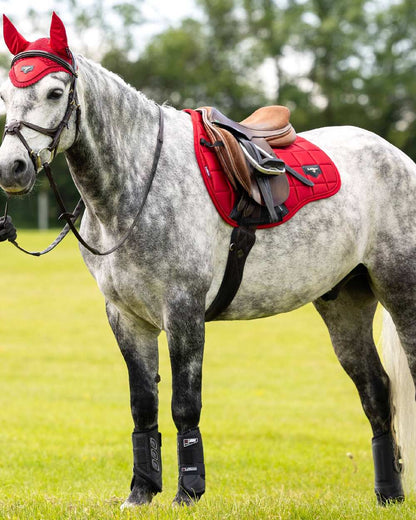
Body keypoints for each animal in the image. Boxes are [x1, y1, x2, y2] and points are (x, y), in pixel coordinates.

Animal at [0, 14, 416, 510]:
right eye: (5, 94)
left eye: (54, 92)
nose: (11, 168)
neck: (137, 185)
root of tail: (398, 158)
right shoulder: (125, 317)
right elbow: (143, 404)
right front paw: (141, 491)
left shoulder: (183, 311)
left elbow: (184, 404)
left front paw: (188, 491)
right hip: (344, 303)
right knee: (377, 391)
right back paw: (388, 496)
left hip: (402, 291)